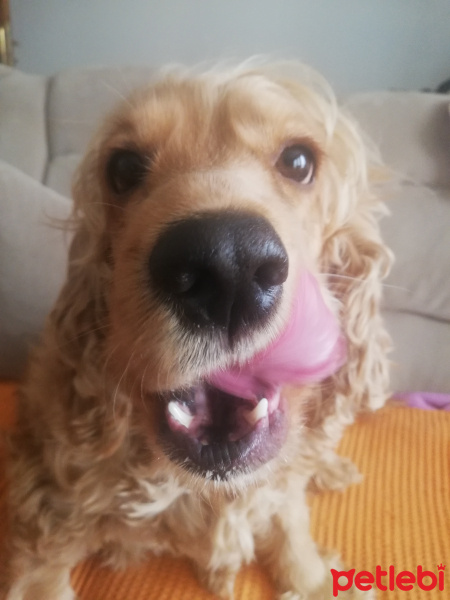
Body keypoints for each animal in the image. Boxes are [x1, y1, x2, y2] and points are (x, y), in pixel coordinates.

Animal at [2, 63, 390, 596]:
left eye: (299, 160)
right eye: (122, 168)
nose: (227, 266)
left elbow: (292, 529)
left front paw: (313, 579)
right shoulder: (45, 516)